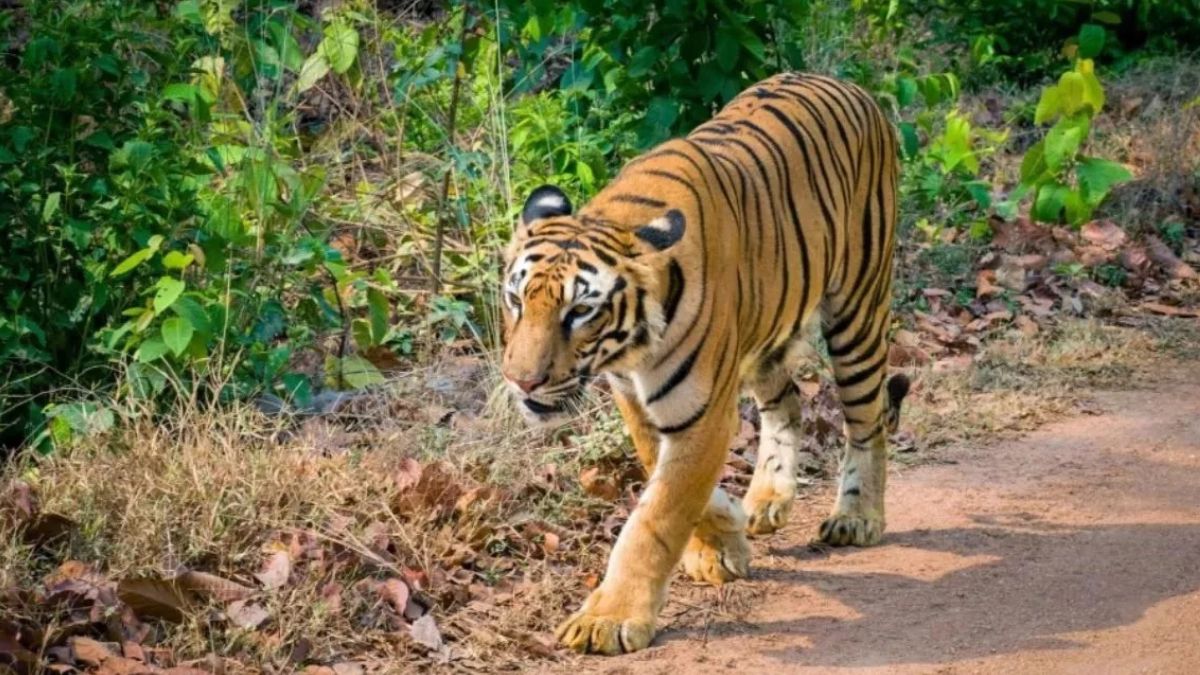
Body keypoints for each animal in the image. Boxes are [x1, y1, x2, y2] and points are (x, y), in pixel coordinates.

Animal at [500, 72, 910, 655]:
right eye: (516, 299)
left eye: (579, 311)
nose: (522, 380)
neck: (631, 349)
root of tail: (852, 87)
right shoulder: (638, 401)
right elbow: (668, 480)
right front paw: (722, 540)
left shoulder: (703, 411)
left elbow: (656, 516)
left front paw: (608, 618)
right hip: (767, 329)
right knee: (788, 404)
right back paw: (765, 500)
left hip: (857, 310)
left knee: (867, 421)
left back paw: (857, 517)